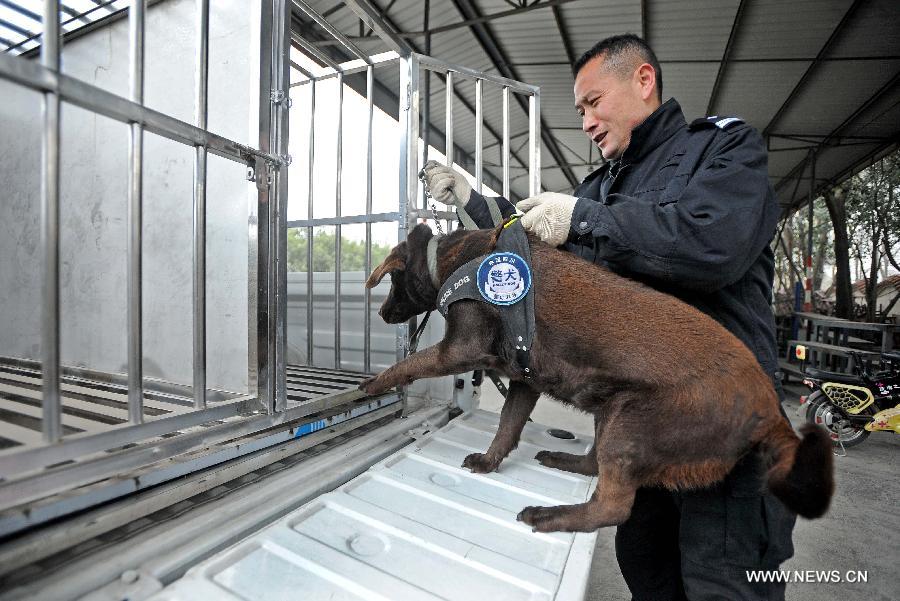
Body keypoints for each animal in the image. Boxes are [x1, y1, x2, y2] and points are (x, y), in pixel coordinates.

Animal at [356, 219, 828, 528]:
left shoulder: (461, 349)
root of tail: (771, 409)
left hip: (631, 423)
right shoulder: (524, 379)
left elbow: (409, 365)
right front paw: (489, 462)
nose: (379, 313)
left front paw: (372, 384)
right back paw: (562, 461)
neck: (450, 260)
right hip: (611, 410)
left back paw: (551, 516)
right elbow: (507, 427)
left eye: (392, 283)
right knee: (594, 466)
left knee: (613, 507)